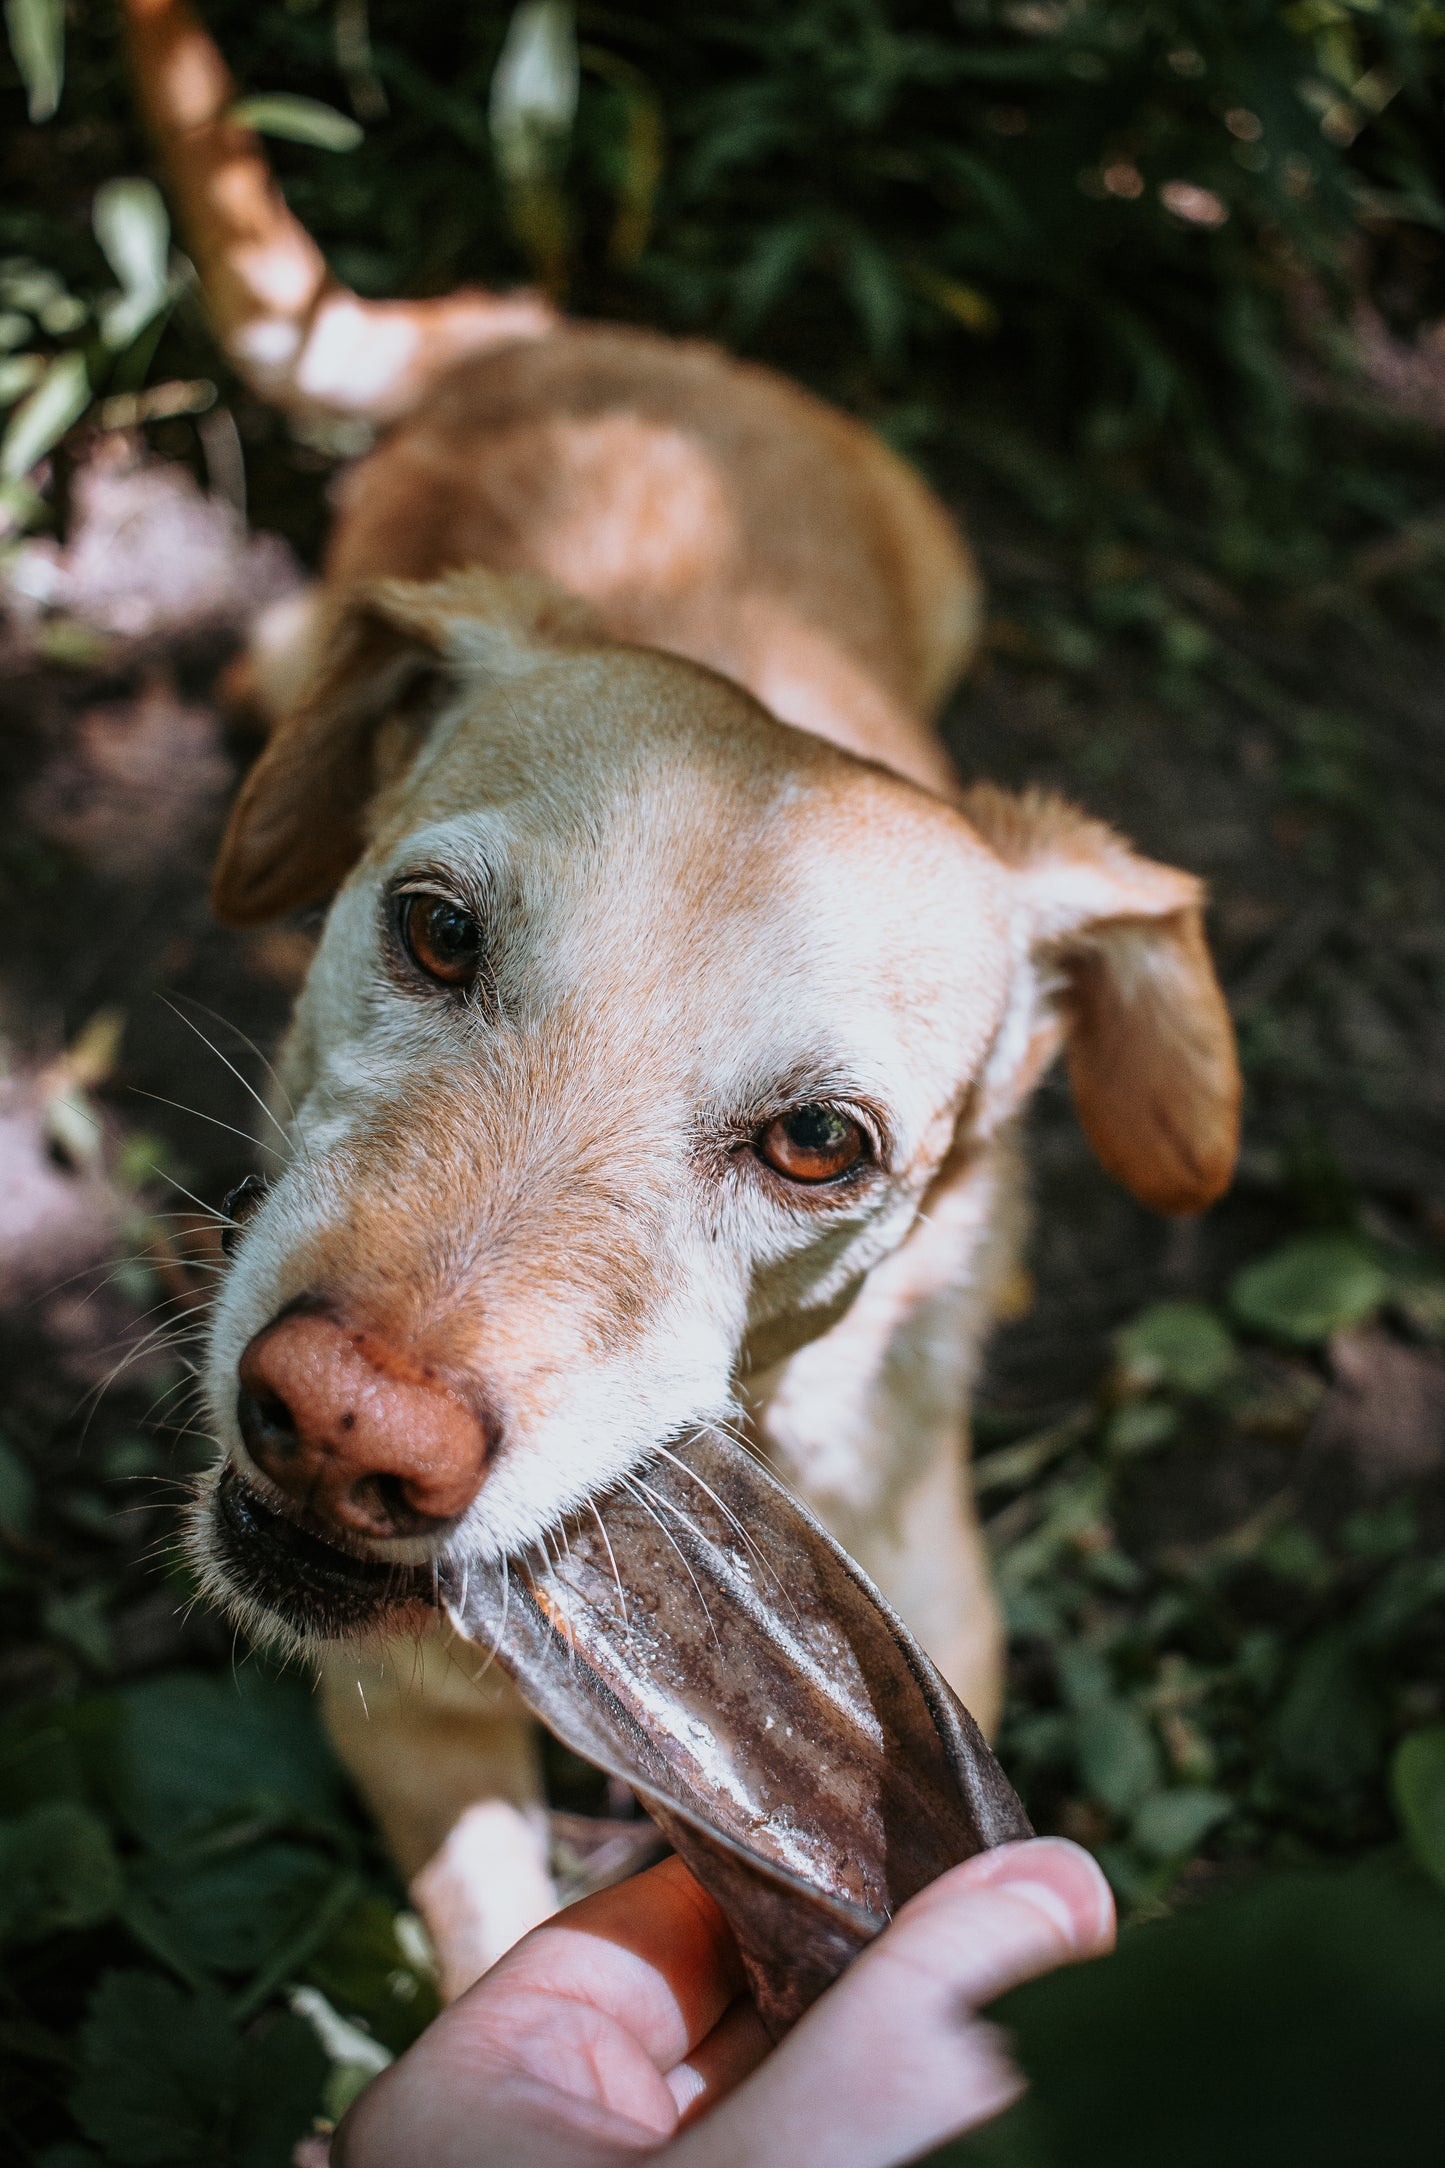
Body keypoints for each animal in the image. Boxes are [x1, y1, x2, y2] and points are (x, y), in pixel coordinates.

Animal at [124, 0, 1239, 1994]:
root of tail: (566, 331)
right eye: (432, 931)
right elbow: (492, 1942)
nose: (344, 1431)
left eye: (819, 1144)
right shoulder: (400, 1724)